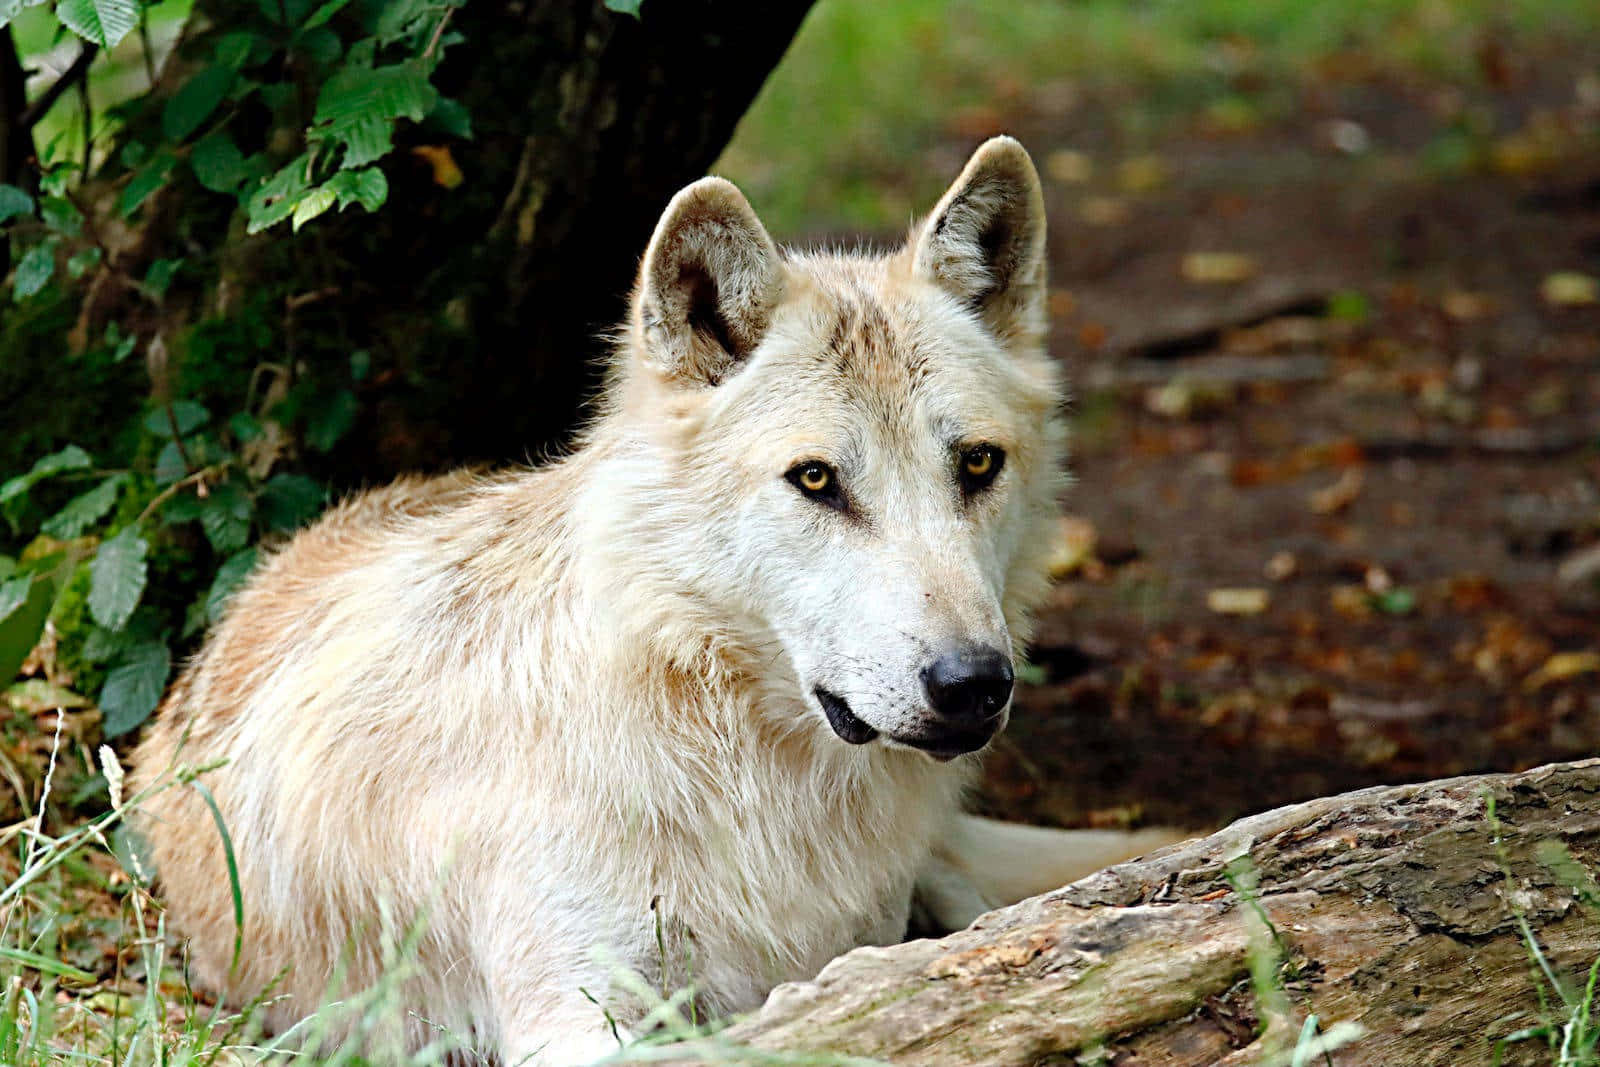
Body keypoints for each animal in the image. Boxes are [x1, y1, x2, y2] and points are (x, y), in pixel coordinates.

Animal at [134, 137, 1177, 1062]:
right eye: (815, 479)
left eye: (977, 464)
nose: (973, 683)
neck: (742, 764)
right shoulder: (573, 1009)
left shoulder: (856, 944)